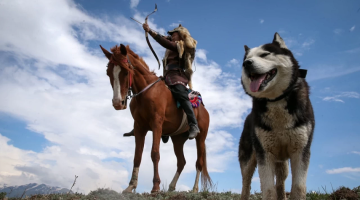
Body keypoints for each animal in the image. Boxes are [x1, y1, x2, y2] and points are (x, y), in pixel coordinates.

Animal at [99, 43, 211, 192]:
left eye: (126, 71)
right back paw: (171, 187)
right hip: (178, 139)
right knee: (181, 162)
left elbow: (155, 153)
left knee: (199, 162)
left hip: (201, 137)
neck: (146, 91)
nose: (118, 103)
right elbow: (137, 156)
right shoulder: (139, 127)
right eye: (108, 73)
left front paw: (156, 187)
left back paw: (194, 189)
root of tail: (204, 109)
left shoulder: (156, 124)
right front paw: (131, 186)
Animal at [239, 33, 316, 200]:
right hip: (248, 160)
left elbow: (298, 187)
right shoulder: (264, 154)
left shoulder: (300, 150)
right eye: (246, 59)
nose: (246, 64)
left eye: (265, 54)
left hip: (282, 164)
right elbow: (268, 189)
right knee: (246, 183)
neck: (276, 100)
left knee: (280, 183)